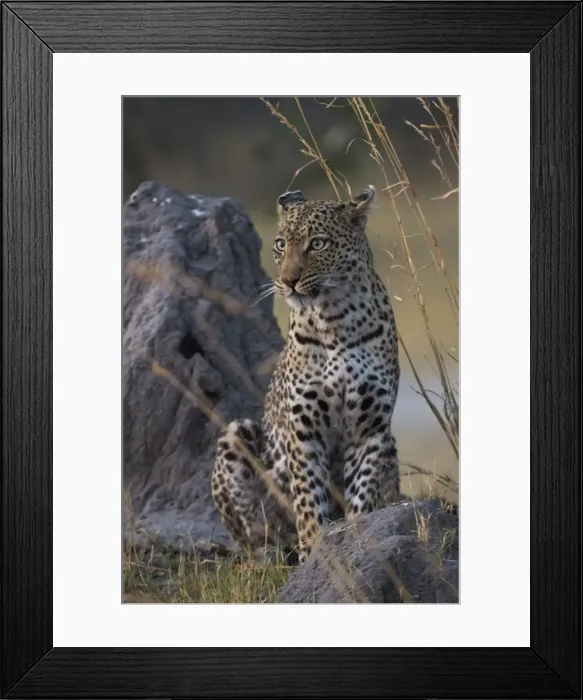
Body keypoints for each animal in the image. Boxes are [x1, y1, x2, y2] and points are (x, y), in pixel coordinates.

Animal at [211, 185, 401, 563]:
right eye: (280, 244)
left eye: (318, 244)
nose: (288, 281)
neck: (336, 320)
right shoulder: (304, 432)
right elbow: (309, 500)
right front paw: (315, 551)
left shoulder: (371, 430)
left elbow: (362, 493)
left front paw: (356, 538)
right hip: (236, 435)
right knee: (254, 537)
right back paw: (269, 556)